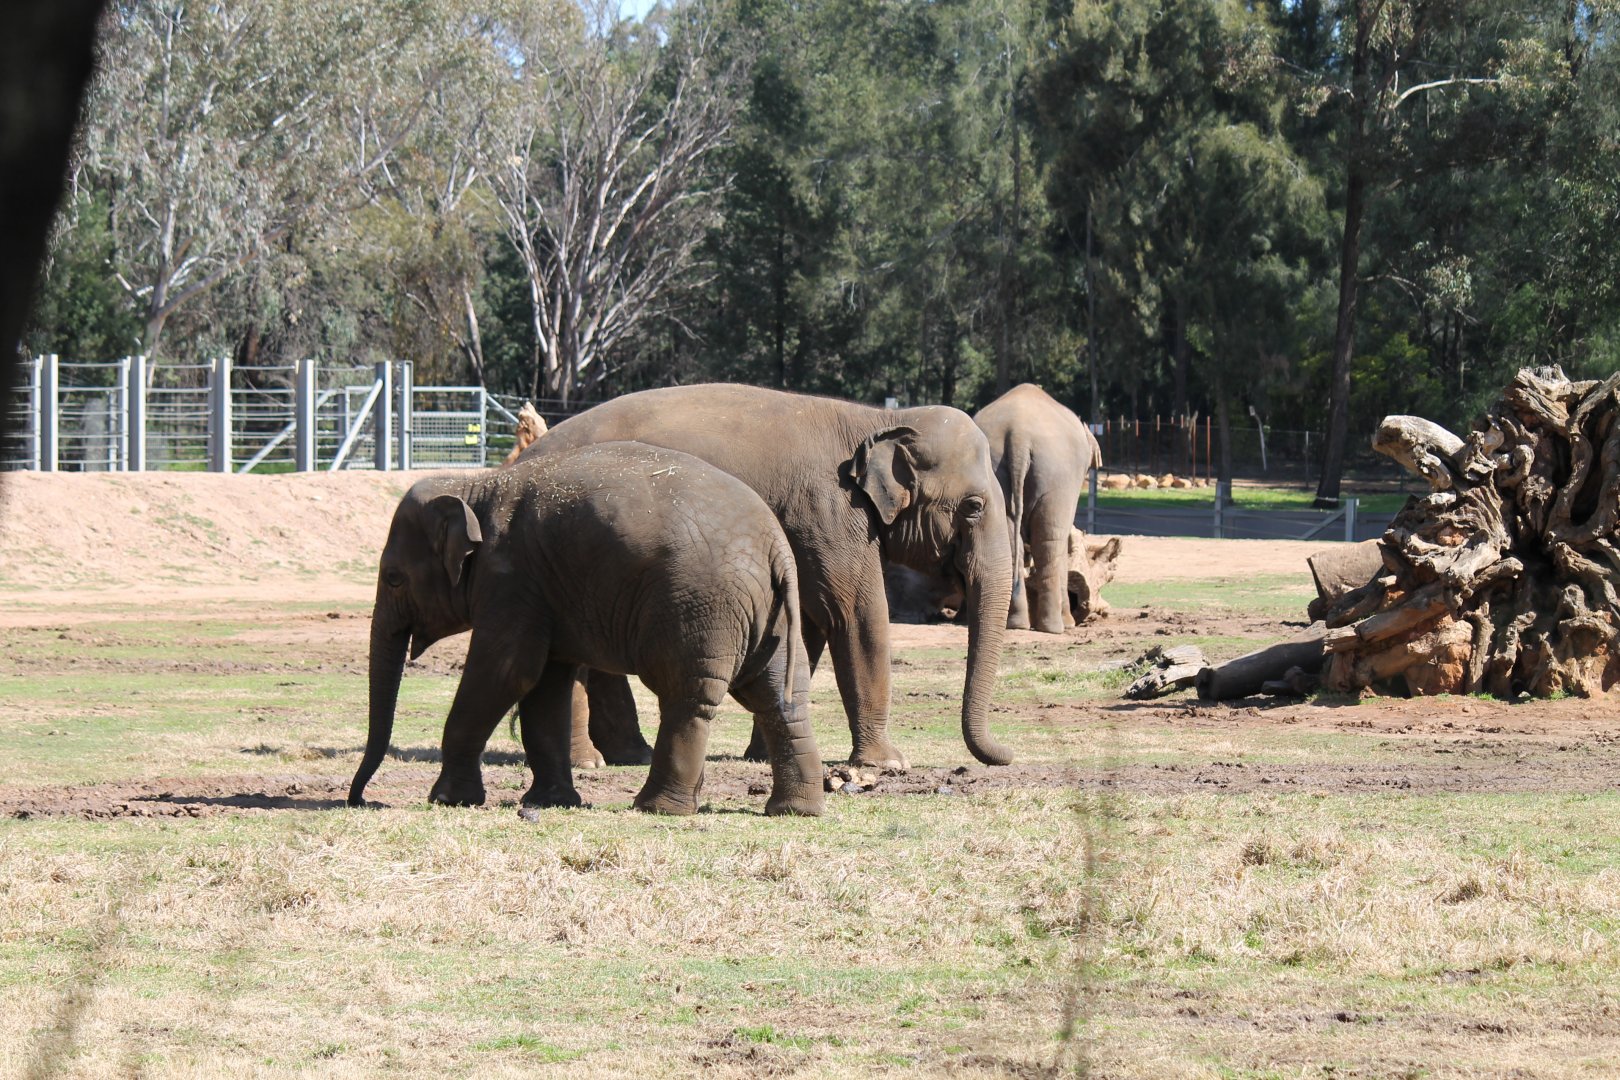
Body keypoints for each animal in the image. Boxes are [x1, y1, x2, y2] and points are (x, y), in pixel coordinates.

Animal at [346, 441, 825, 818]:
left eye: (393, 578)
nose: (359, 799)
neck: (476, 486)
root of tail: (776, 547)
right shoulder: (542, 590)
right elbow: (545, 685)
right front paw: (552, 801)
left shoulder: (510, 578)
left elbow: (506, 672)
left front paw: (448, 799)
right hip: (771, 616)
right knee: (780, 698)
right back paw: (795, 810)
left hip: (701, 608)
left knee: (688, 697)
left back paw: (656, 808)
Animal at [522, 383, 1016, 770]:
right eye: (974, 507)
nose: (1008, 753)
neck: (882, 419)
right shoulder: (828, 511)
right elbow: (854, 614)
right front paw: (888, 763)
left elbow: (805, 625)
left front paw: (760, 755)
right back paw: (588, 761)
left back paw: (631, 756)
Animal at [973, 384, 1101, 634]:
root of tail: (1018, 435)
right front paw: (1070, 623)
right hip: (1056, 475)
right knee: (1049, 542)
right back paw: (1054, 627)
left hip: (995, 470)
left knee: (1009, 542)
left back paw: (1016, 623)